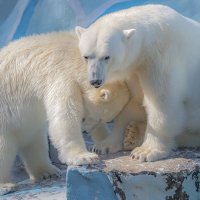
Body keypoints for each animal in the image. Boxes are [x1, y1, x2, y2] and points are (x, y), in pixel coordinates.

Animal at [0, 31, 130, 191]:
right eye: (99, 117)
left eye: (103, 119)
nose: (86, 130)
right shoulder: (62, 76)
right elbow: (65, 116)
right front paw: (84, 156)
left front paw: (105, 144)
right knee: (5, 146)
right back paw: (5, 185)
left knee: (35, 140)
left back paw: (47, 171)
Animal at [76, 3, 200, 162]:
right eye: (86, 56)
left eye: (107, 57)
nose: (95, 81)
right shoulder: (134, 69)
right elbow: (131, 105)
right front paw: (105, 145)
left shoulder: (160, 59)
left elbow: (162, 105)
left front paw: (145, 151)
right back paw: (132, 134)